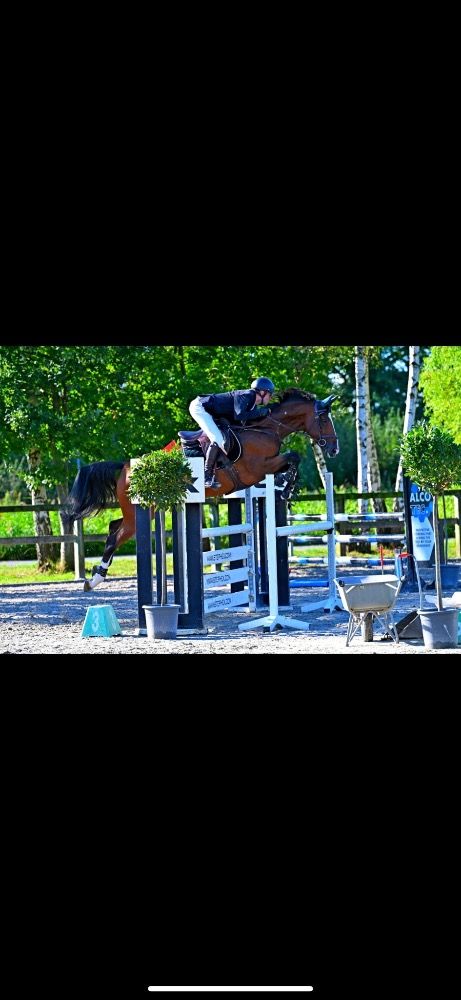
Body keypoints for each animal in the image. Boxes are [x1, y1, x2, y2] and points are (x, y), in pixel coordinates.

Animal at [64, 389, 339, 591]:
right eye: (324, 419)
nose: (334, 449)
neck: (264, 428)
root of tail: (125, 466)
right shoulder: (257, 468)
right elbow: (293, 456)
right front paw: (286, 488)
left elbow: (293, 460)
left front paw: (287, 487)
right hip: (142, 511)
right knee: (115, 536)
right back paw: (94, 580)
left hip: (136, 511)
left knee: (113, 526)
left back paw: (96, 575)